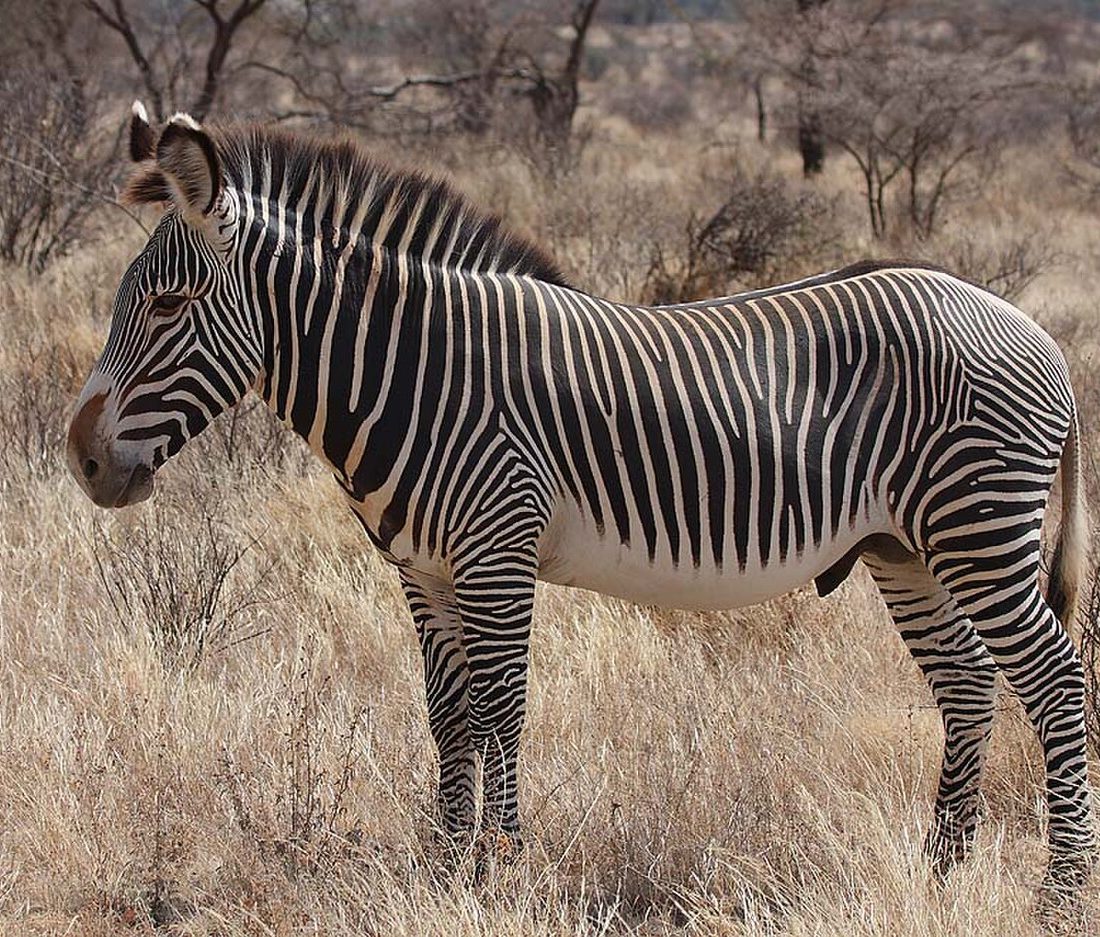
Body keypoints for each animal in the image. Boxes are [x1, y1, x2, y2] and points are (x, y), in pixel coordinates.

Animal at [67, 104, 1095, 895]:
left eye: (165, 306)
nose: (79, 459)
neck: (421, 373)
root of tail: (1032, 328)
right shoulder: (424, 570)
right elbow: (448, 713)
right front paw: (444, 870)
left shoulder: (496, 547)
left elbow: (501, 706)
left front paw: (502, 869)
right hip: (908, 548)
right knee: (967, 684)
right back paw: (940, 872)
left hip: (979, 529)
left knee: (1054, 679)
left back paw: (1059, 888)